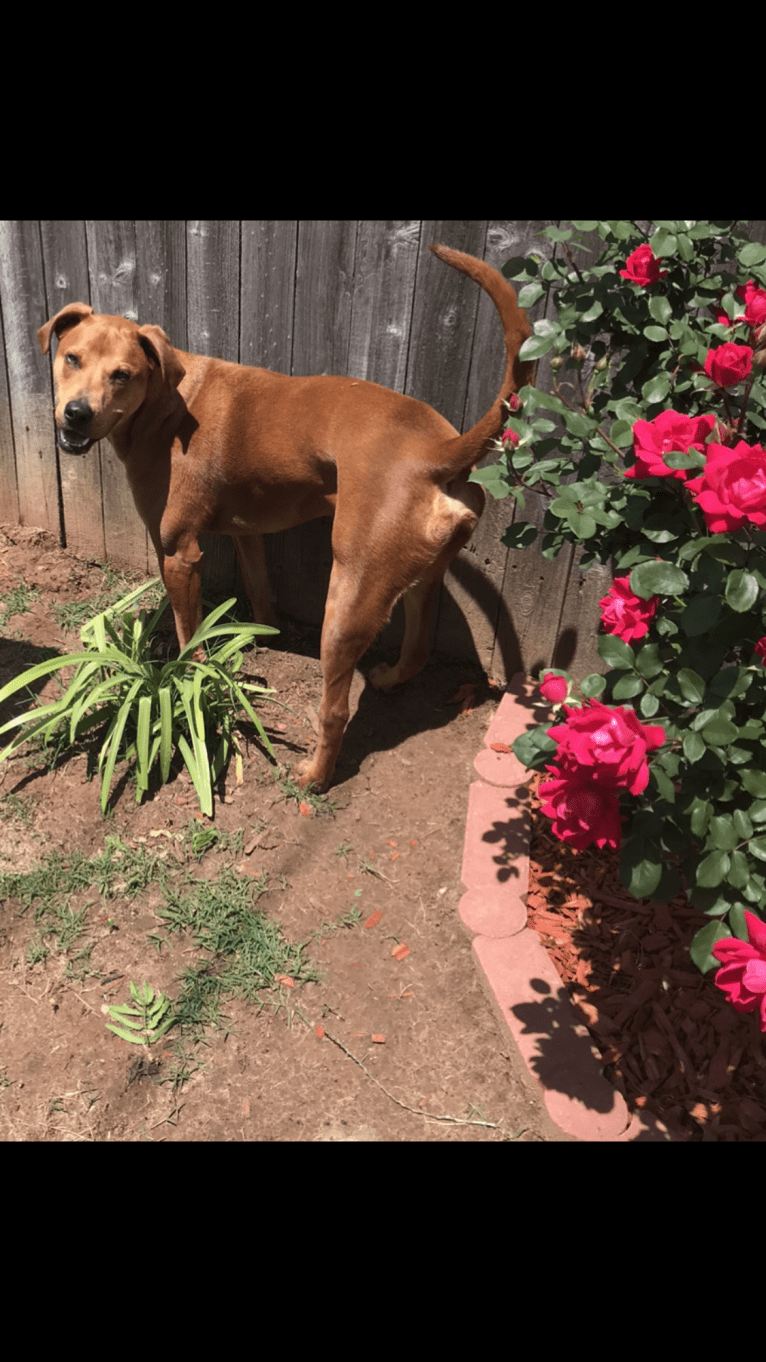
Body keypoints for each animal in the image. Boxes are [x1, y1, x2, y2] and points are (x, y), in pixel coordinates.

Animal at [38, 247, 534, 789]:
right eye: (71, 357)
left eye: (122, 375)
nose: (76, 414)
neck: (164, 402)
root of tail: (436, 452)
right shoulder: (247, 533)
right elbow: (260, 590)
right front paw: (260, 637)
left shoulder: (178, 554)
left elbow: (190, 637)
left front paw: (192, 679)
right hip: (422, 578)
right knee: (418, 649)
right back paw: (387, 679)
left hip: (346, 603)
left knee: (335, 711)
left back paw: (314, 775)